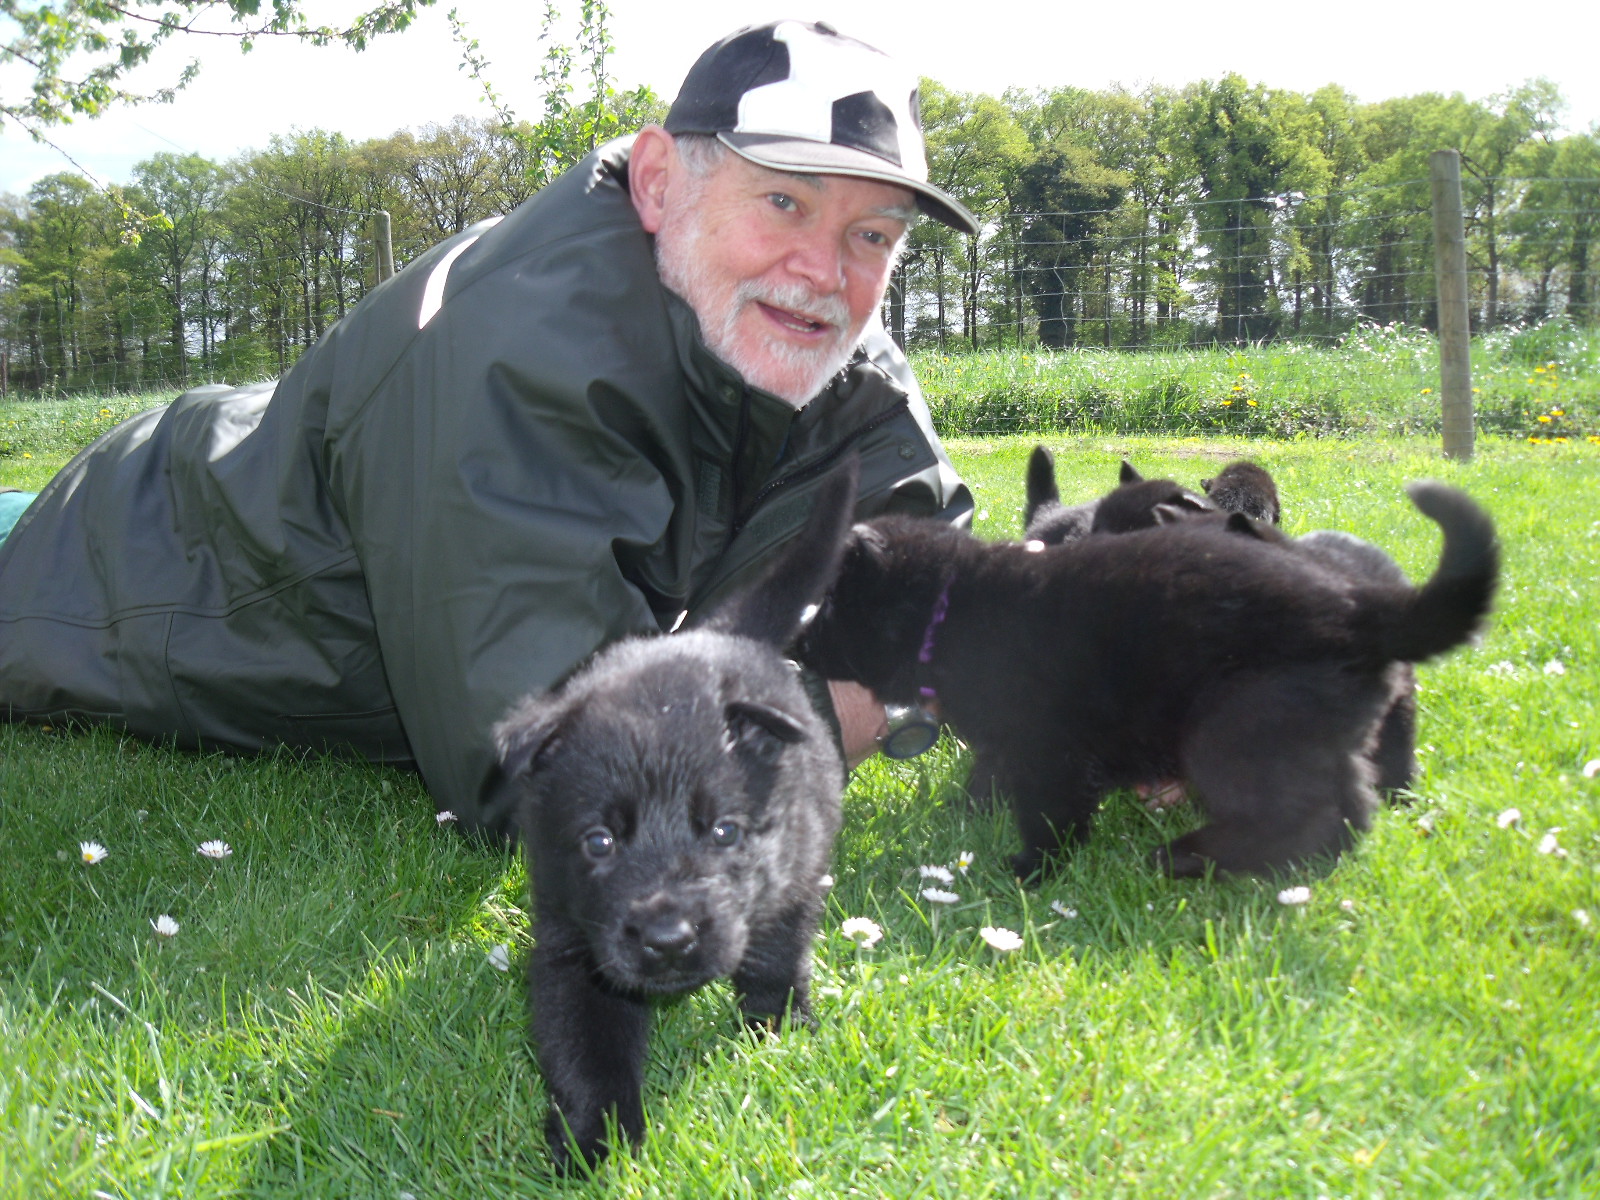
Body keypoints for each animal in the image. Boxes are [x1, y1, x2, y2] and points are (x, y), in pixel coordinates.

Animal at [493, 463, 856, 1169]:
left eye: (725, 832)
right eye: (599, 842)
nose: (668, 939)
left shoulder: (789, 879)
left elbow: (775, 960)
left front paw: (778, 1029)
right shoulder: (572, 946)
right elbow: (586, 1052)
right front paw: (595, 1139)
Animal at [799, 481, 1497, 880]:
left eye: (828, 603)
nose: (794, 645)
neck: (952, 607)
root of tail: (1357, 610)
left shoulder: (1050, 746)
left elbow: (1049, 812)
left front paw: (1030, 868)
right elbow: (993, 778)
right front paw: (971, 813)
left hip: (1235, 730)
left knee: (1309, 811)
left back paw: (1190, 855)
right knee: (1351, 807)